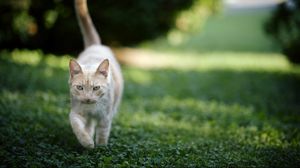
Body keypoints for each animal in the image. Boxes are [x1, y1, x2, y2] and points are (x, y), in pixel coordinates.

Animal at [68, 0, 123, 148]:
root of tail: (95, 45)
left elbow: (103, 133)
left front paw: (101, 147)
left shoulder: (105, 117)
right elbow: (77, 127)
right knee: (89, 125)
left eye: (96, 88)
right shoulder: (76, 113)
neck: (91, 108)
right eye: (80, 87)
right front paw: (87, 142)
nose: (87, 98)